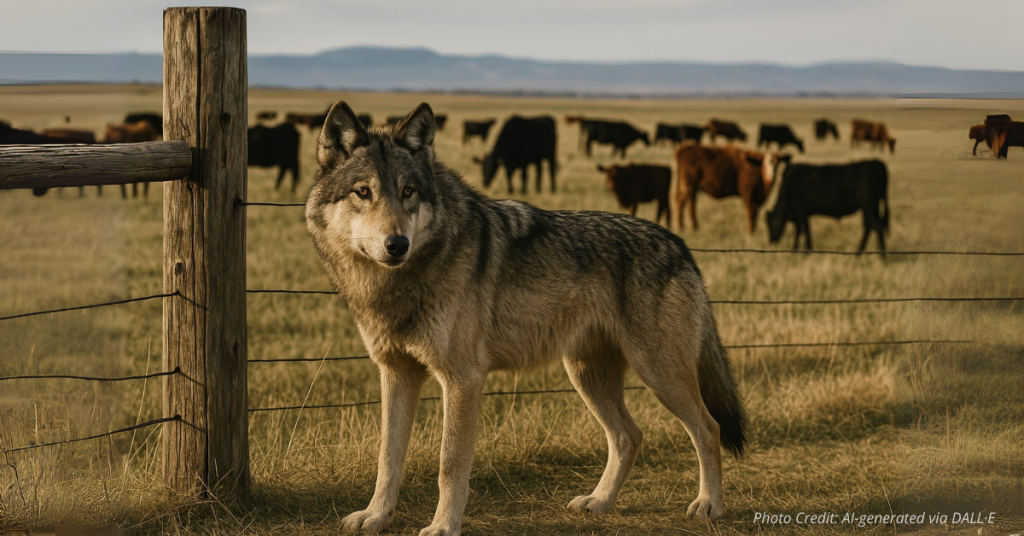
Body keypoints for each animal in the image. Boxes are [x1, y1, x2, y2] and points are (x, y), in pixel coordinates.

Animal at [305, 101, 747, 536]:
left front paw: (444, 526)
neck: (399, 283)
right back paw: (600, 502)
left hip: (658, 374)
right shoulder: (396, 373)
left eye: (408, 192)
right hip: (588, 375)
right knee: (628, 436)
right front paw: (375, 516)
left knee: (708, 429)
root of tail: (680, 245)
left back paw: (709, 505)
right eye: (363, 192)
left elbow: (450, 465)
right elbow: (388, 458)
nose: (397, 244)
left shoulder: (463, 379)